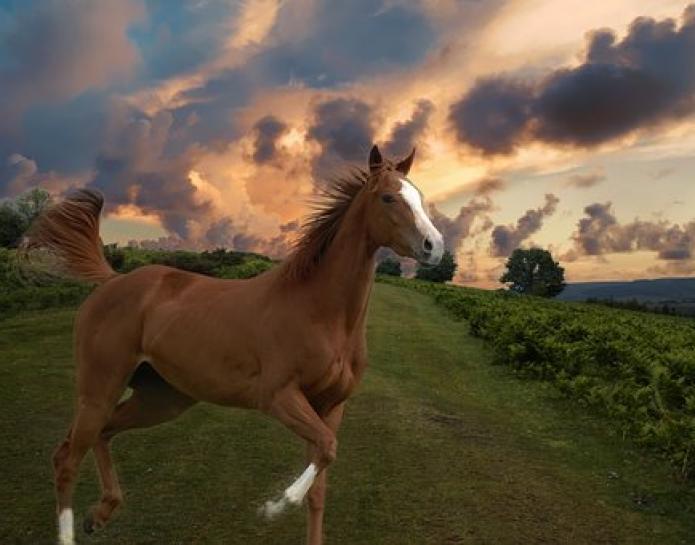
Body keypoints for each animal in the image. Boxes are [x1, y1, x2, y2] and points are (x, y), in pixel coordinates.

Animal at [26, 144, 444, 545]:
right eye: (389, 198)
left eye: (419, 196)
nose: (434, 247)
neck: (320, 312)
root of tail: (113, 280)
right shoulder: (278, 397)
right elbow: (327, 448)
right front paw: (274, 506)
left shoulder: (330, 407)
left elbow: (320, 484)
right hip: (100, 388)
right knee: (66, 458)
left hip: (161, 398)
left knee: (101, 435)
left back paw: (99, 515)